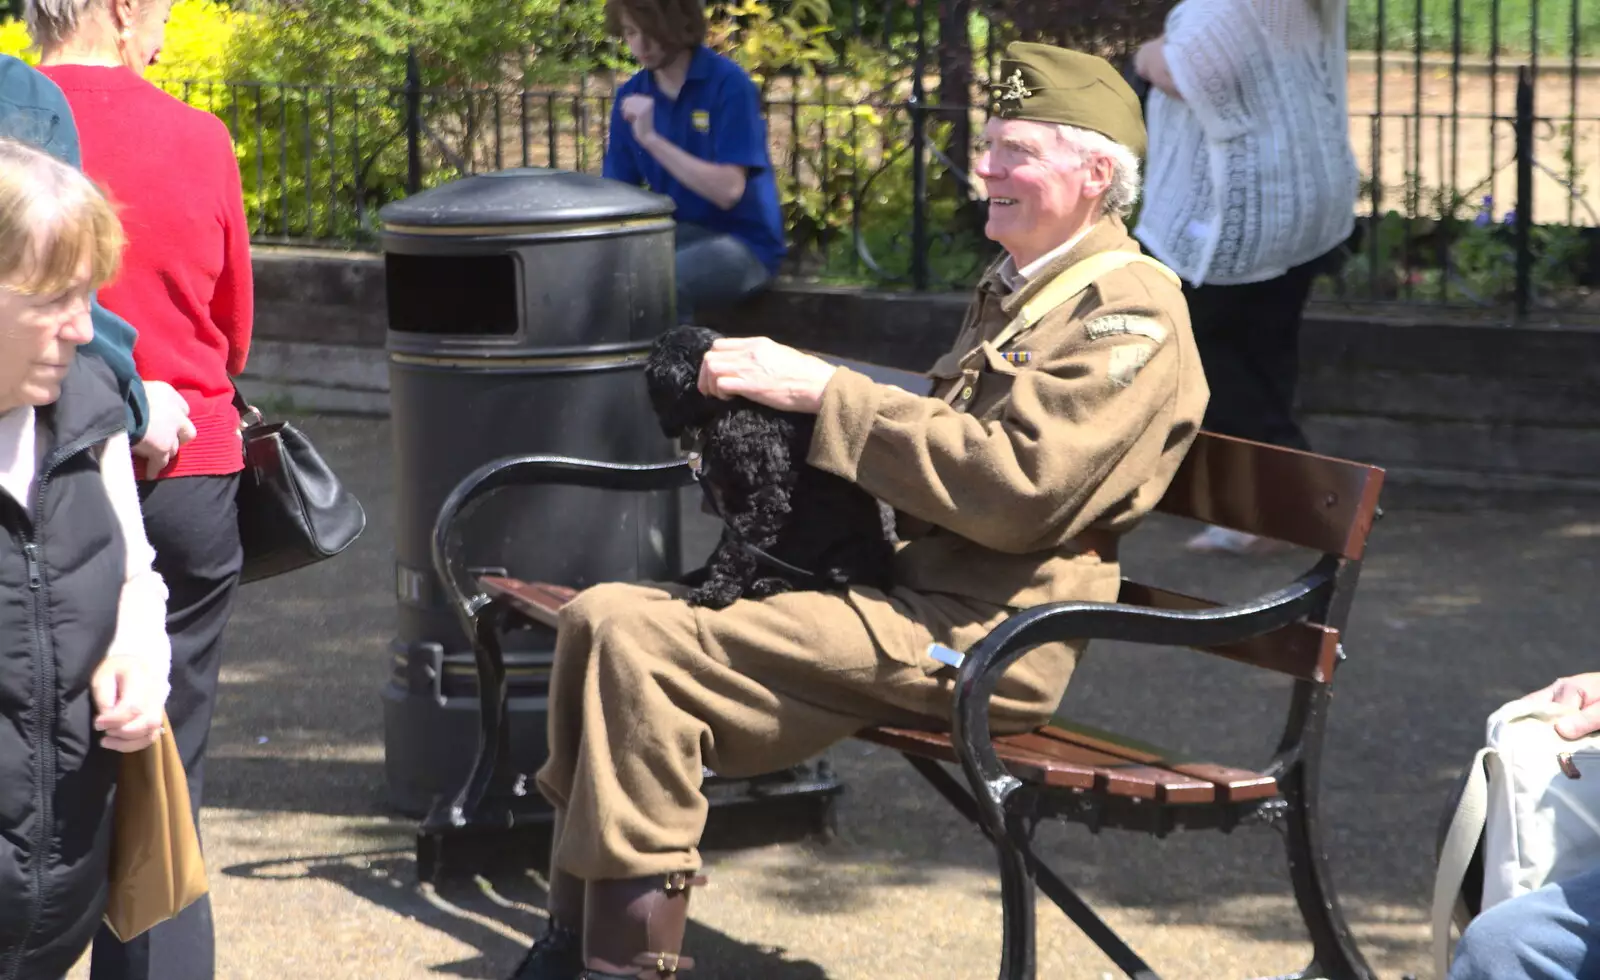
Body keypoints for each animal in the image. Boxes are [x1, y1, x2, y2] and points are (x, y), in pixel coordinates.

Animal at [649, 325, 902, 608]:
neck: (731, 404)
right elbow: (727, 543)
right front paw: (705, 576)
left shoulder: (763, 500)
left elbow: (736, 549)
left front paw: (717, 590)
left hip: (834, 553)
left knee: (818, 579)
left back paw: (771, 583)